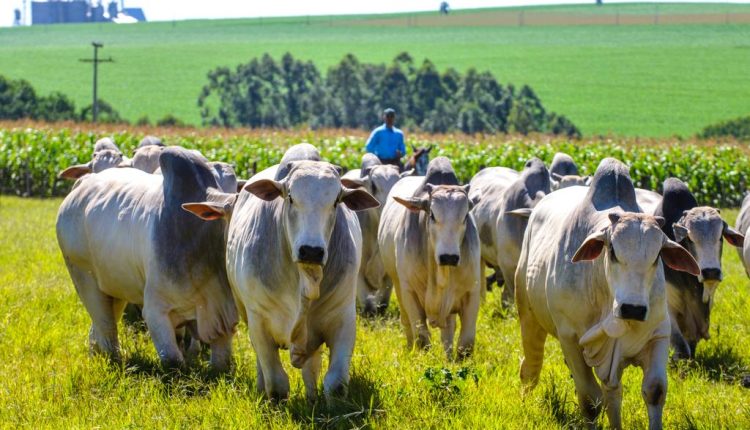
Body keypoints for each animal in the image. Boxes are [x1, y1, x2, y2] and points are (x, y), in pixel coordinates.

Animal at [382, 156, 482, 358]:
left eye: (465, 216)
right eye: (433, 215)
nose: (449, 257)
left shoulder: (472, 293)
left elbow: (466, 343)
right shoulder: (409, 292)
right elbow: (422, 338)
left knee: (448, 330)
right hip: (398, 286)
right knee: (407, 325)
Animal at [516, 159, 700, 430]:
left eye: (658, 255)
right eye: (611, 250)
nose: (632, 308)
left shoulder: (658, 334)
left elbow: (654, 390)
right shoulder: (570, 339)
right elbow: (590, 401)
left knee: (613, 391)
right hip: (528, 316)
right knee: (530, 366)